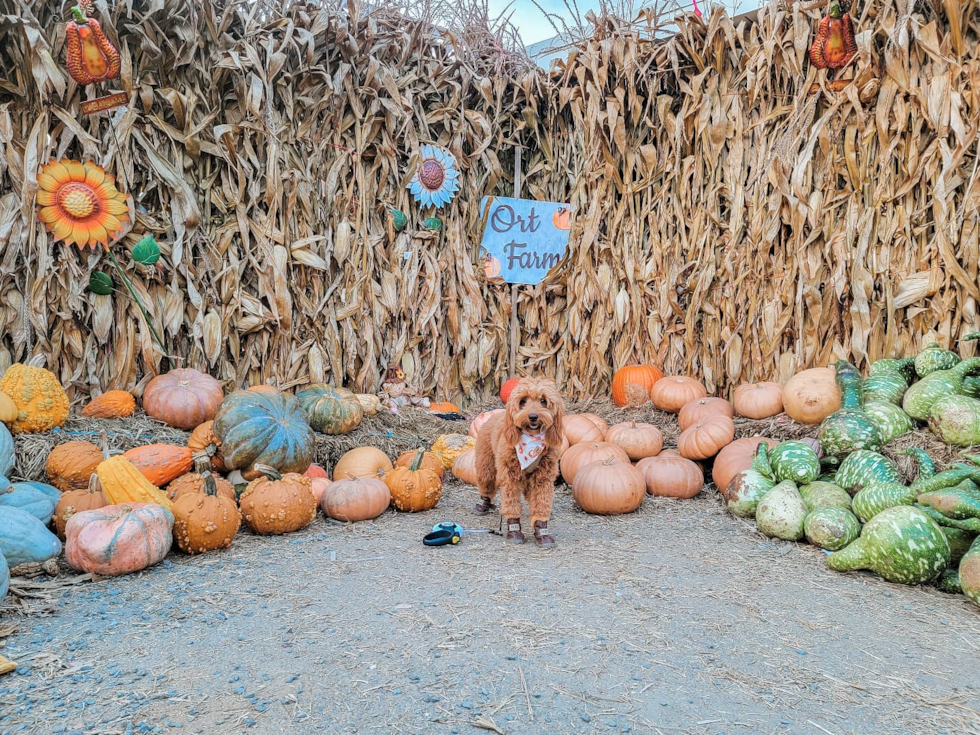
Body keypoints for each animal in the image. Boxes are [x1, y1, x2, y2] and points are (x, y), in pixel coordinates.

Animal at [474, 380, 568, 548]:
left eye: (543, 400)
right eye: (523, 401)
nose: (533, 416)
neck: (531, 439)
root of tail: (496, 414)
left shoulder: (543, 478)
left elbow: (541, 502)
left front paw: (542, 530)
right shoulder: (510, 476)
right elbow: (511, 503)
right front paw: (514, 530)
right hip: (486, 466)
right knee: (486, 485)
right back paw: (483, 504)